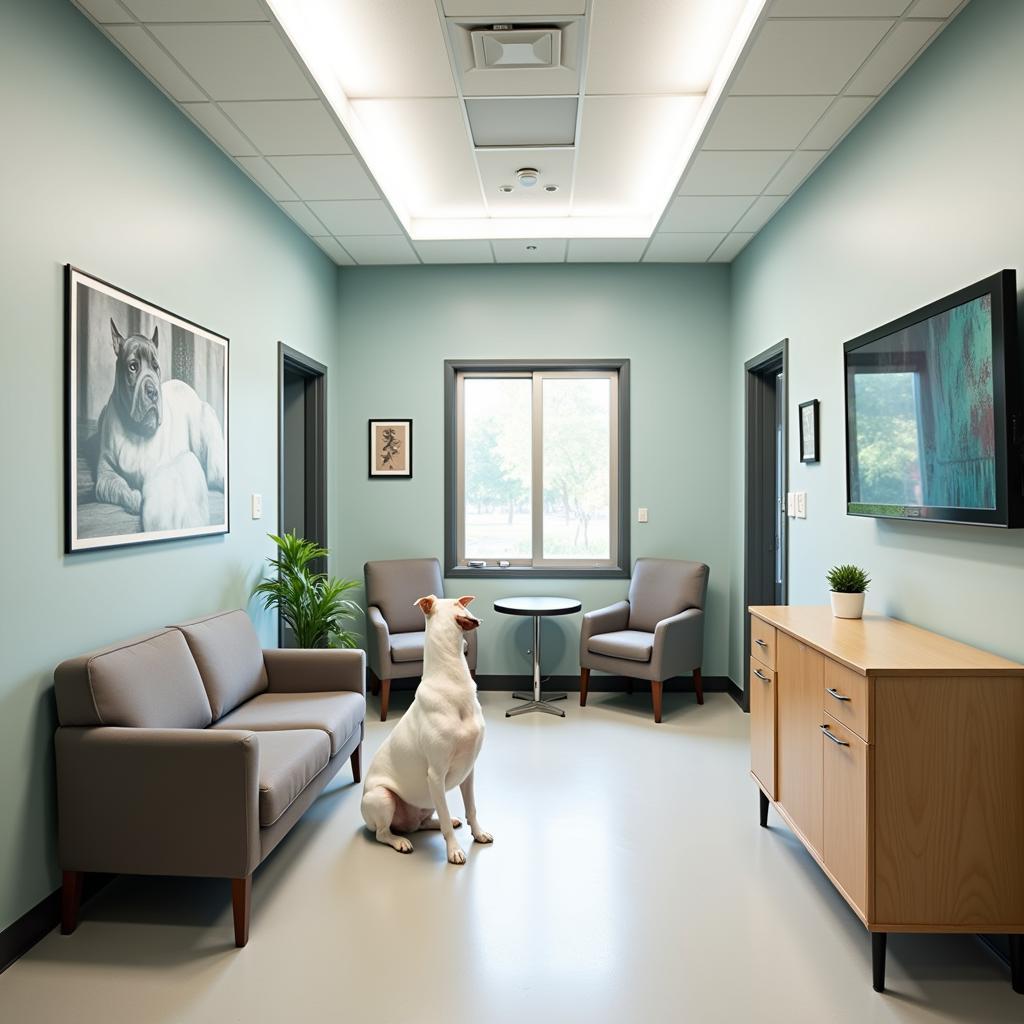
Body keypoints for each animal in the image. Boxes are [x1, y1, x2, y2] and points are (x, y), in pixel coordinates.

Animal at [362, 593, 493, 864]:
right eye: (458, 604)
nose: (474, 613)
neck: (453, 681)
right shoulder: (436, 775)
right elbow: (447, 825)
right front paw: (454, 851)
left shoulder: (468, 771)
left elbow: (472, 808)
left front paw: (478, 833)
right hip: (382, 798)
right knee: (382, 833)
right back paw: (400, 841)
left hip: (427, 801)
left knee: (425, 822)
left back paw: (445, 821)